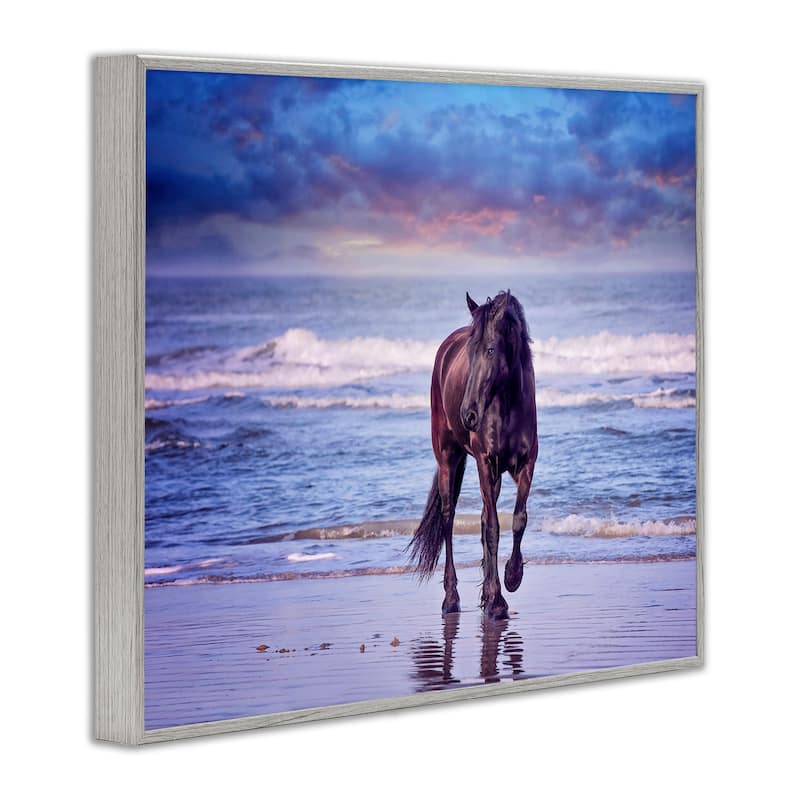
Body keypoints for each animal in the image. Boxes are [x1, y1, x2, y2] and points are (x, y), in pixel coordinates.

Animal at [409, 290, 538, 620]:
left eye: (491, 349)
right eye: (470, 352)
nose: (468, 414)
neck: (506, 405)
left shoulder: (526, 464)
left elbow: (517, 519)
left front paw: (511, 578)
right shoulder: (484, 462)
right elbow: (493, 527)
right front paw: (497, 601)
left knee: (480, 519)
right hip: (447, 458)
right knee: (448, 519)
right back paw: (451, 599)